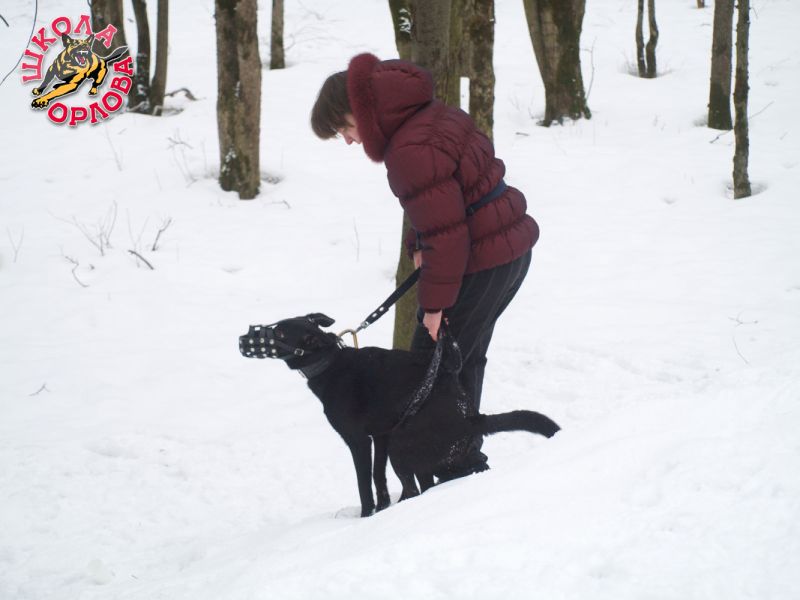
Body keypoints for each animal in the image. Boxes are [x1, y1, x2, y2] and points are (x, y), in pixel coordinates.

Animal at [239, 313, 560, 517]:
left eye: (280, 333)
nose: (243, 338)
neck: (329, 362)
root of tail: (470, 415)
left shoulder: (359, 441)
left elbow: (364, 483)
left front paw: (367, 515)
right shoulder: (381, 435)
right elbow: (378, 478)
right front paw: (382, 509)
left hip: (403, 448)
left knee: (421, 486)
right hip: (414, 447)